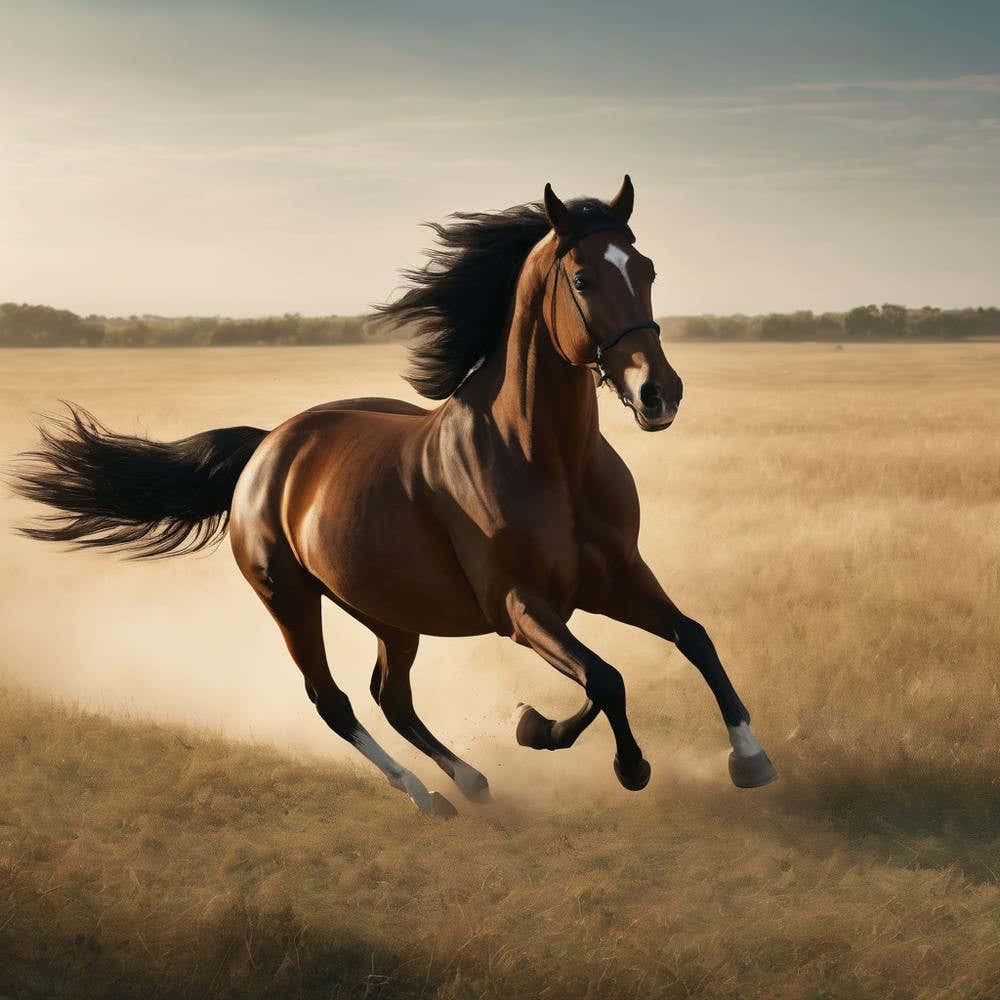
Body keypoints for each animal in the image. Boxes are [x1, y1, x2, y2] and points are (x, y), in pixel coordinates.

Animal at [11, 176, 777, 815]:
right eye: (584, 279)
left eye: (647, 271)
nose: (658, 393)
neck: (546, 458)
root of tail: (267, 448)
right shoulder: (519, 606)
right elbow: (605, 678)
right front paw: (588, 748)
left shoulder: (615, 577)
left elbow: (691, 637)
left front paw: (749, 757)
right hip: (290, 598)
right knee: (334, 700)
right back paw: (425, 794)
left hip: (387, 611)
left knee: (393, 697)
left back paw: (470, 779)